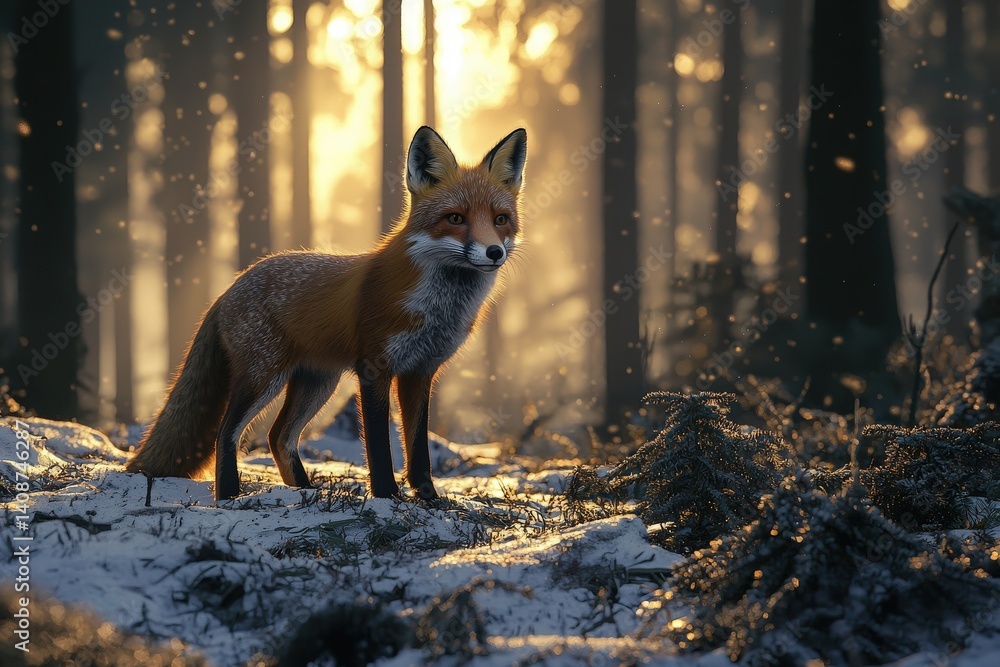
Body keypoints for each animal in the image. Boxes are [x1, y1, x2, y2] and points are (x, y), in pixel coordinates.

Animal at [126, 126, 527, 501]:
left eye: (501, 219)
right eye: (455, 218)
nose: (493, 252)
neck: (438, 309)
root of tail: (229, 287)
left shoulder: (420, 372)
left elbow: (418, 447)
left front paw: (428, 499)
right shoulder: (374, 368)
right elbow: (379, 446)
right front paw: (386, 496)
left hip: (317, 383)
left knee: (279, 436)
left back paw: (304, 493)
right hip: (264, 377)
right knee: (227, 432)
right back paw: (229, 497)